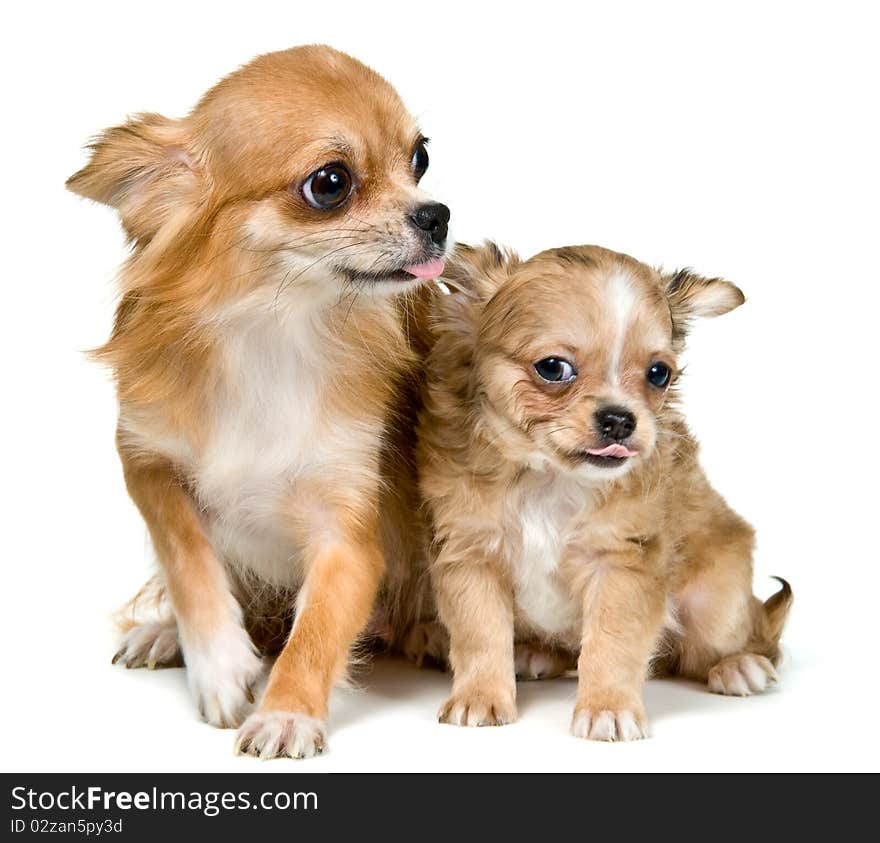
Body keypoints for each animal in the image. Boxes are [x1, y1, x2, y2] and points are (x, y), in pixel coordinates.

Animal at [68, 44, 450, 760]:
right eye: (330, 183)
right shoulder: (146, 459)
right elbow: (185, 552)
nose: (438, 214)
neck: (273, 334)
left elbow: (315, 634)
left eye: (420, 158)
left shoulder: (346, 538)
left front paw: (286, 713)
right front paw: (217, 661)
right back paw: (165, 631)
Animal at [418, 242, 792, 740]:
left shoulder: (621, 564)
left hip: (716, 607)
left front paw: (608, 708)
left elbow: (612, 644)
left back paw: (738, 666)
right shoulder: (472, 555)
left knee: (746, 643)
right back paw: (535, 654)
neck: (549, 479)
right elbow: (481, 635)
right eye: (553, 368)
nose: (620, 419)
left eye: (658, 374)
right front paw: (480, 696)